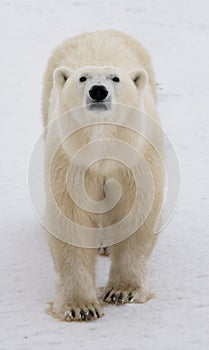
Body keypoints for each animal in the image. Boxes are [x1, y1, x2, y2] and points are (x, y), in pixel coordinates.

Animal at [42, 30, 163, 322]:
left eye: (115, 78)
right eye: (82, 78)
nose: (98, 91)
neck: (103, 142)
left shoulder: (136, 156)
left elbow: (136, 210)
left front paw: (123, 291)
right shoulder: (72, 158)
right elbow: (72, 217)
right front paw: (81, 306)